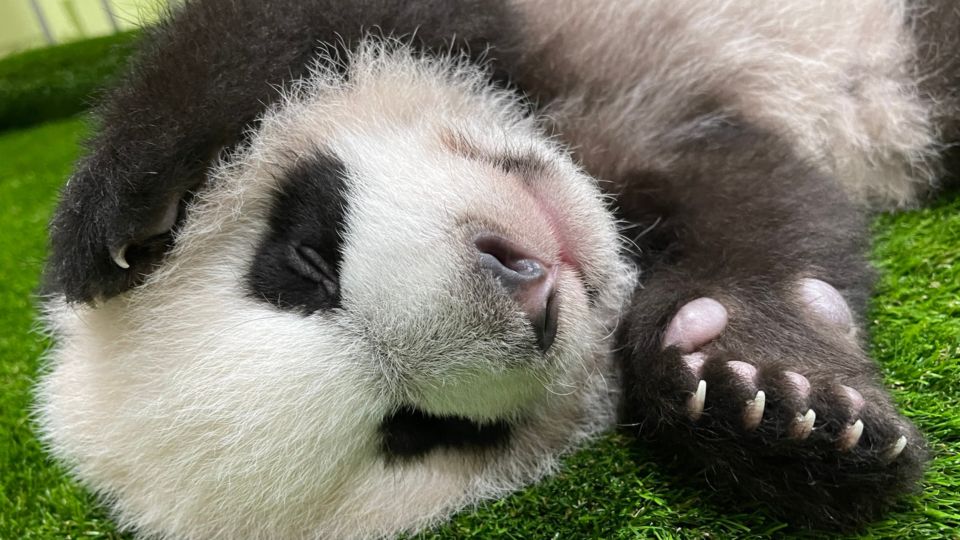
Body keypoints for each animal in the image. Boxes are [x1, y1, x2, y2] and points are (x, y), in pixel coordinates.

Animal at [33, 0, 956, 536]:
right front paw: (776, 403)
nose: (532, 280)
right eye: (417, 431)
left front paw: (119, 211)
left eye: (306, 263)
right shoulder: (686, 158)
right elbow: (760, 205)